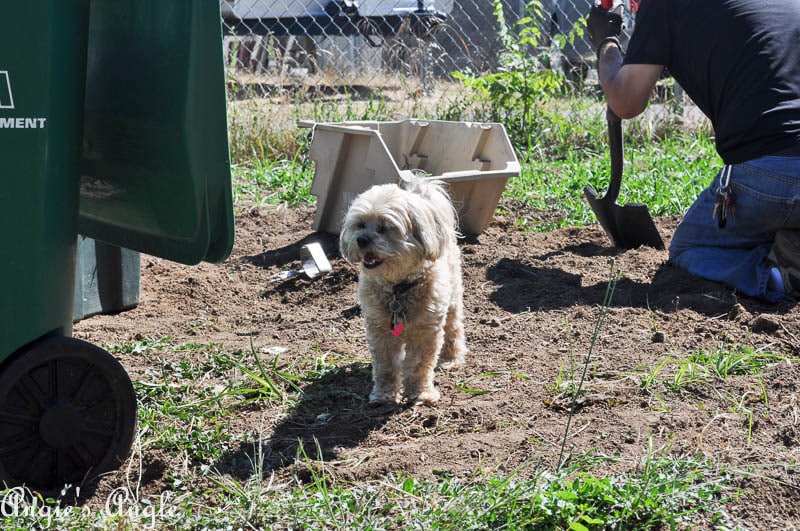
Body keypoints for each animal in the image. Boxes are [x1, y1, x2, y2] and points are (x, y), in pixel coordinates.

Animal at [340, 177, 468, 406]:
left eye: (385, 227)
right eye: (360, 224)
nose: (361, 239)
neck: (398, 289)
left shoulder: (426, 331)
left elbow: (419, 365)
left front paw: (420, 393)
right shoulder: (380, 331)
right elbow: (386, 366)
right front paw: (384, 395)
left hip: (453, 297)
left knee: (454, 328)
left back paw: (451, 359)